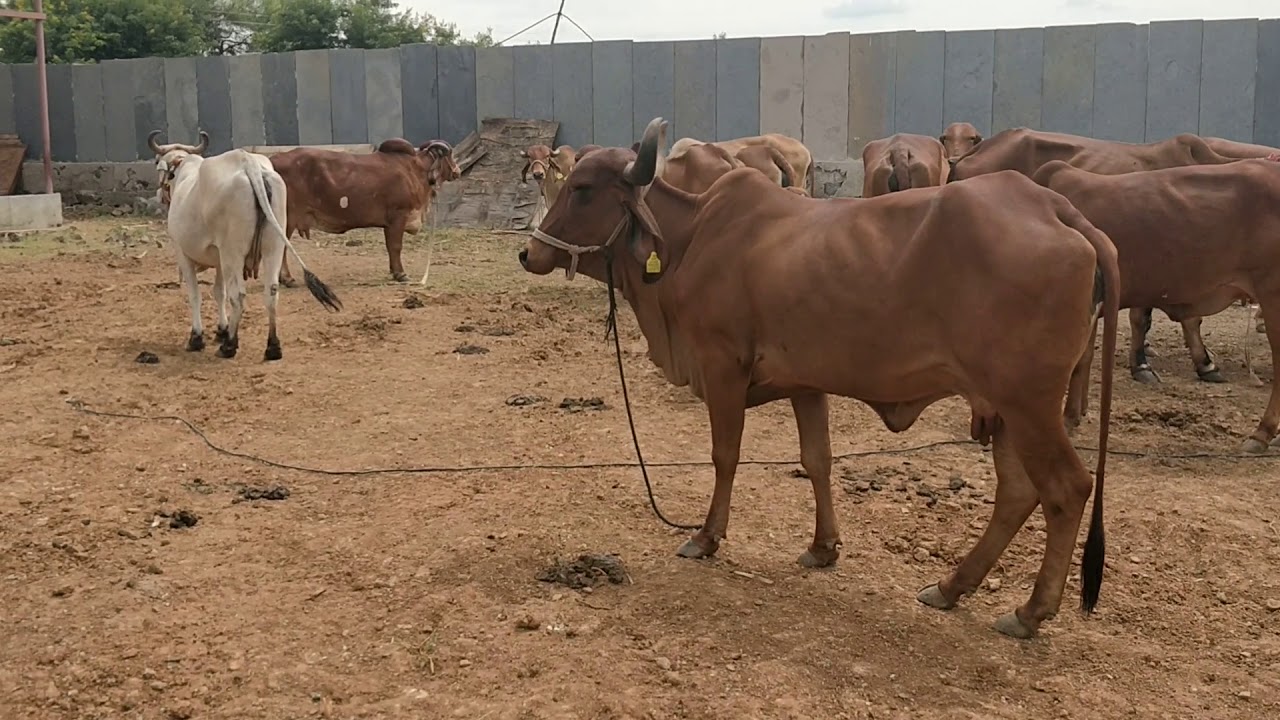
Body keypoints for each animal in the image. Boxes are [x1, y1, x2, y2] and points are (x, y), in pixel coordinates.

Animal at [148, 131, 342, 361]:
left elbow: (195, 295)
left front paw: (197, 338)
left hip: (233, 252)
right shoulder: (220, 259)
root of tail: (250, 164)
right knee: (271, 292)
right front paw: (222, 330)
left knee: (238, 296)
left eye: (157, 162)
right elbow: (219, 292)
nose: (159, 195)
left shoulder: (183, 253)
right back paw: (272, 347)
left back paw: (230, 346)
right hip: (272, 247)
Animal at [269, 139, 460, 284]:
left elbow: (390, 247)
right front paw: (401, 274)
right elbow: (396, 246)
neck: (415, 169)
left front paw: (394, 271)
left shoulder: (388, 223)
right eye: (449, 154)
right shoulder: (398, 216)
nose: (457, 171)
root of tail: (273, 160)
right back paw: (286, 278)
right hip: (287, 218)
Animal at [518, 117, 1121, 640]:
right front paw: (823, 546)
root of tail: (1057, 208)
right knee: (1018, 493)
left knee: (1066, 489)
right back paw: (952, 586)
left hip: (1029, 405)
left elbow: (725, 456)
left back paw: (1030, 610)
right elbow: (817, 460)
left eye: (584, 189)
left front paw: (707, 536)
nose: (529, 252)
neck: (689, 240)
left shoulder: (723, 367)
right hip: (1002, 409)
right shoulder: (807, 383)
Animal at [1032, 158, 1280, 452]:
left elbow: (1077, 362)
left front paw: (1068, 419)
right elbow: (1085, 358)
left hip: (1272, 294)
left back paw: (1261, 434)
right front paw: (1078, 412)